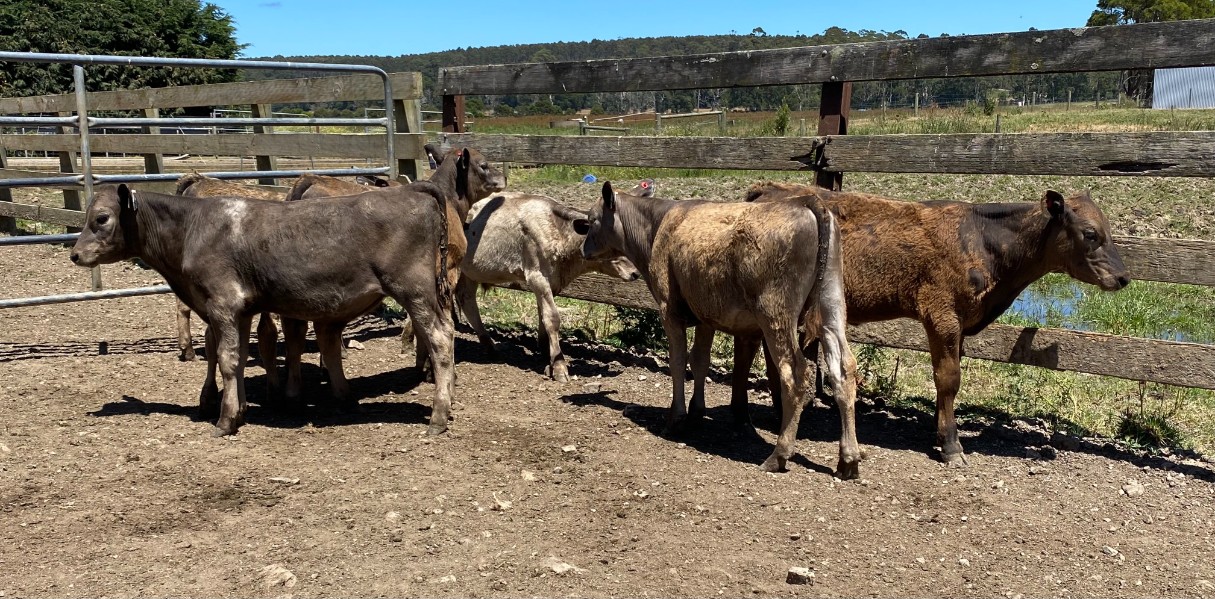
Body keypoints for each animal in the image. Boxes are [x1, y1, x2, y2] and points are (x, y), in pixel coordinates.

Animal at [70, 183, 457, 438]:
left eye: (101, 218)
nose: (75, 254)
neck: (193, 227)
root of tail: (413, 192)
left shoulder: (223, 305)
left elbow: (226, 360)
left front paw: (225, 421)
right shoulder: (241, 312)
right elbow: (239, 359)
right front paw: (239, 410)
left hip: (415, 291)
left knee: (440, 340)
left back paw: (438, 415)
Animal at [458, 191, 641, 382]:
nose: (636, 273)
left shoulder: (551, 283)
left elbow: (543, 318)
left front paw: (548, 358)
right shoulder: (537, 277)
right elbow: (552, 318)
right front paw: (560, 366)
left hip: (469, 271)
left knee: (466, 299)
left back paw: (489, 345)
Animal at [576, 181, 861, 478]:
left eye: (592, 220)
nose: (583, 250)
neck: (656, 225)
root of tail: (806, 202)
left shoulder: (669, 309)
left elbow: (678, 361)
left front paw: (676, 418)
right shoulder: (705, 314)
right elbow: (700, 360)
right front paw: (696, 412)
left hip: (775, 311)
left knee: (794, 373)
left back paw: (779, 455)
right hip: (832, 302)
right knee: (843, 369)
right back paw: (848, 459)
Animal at [744, 182, 1131, 466]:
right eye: (1090, 233)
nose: (1124, 277)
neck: (983, 240)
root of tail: (769, 188)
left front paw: (940, 430)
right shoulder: (942, 316)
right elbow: (948, 378)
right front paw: (951, 444)